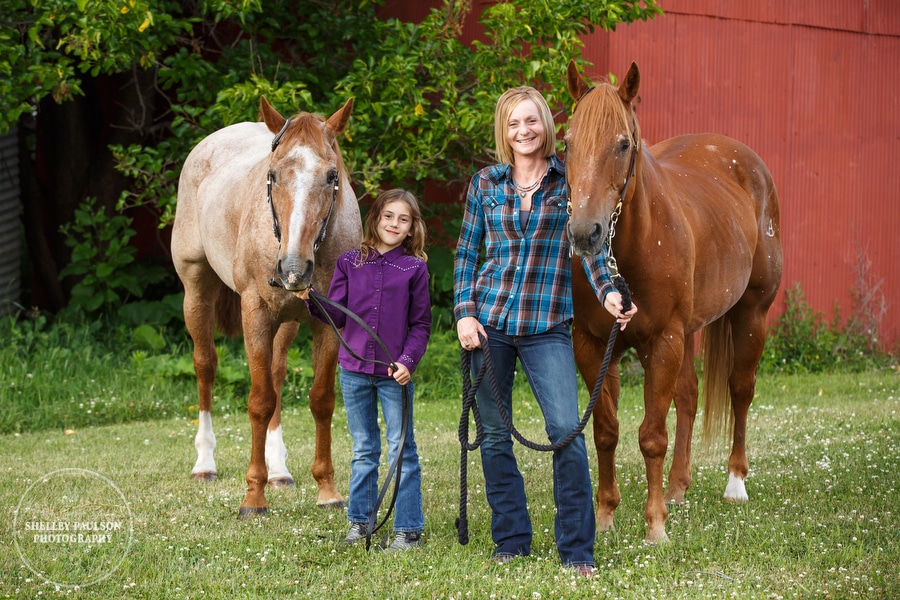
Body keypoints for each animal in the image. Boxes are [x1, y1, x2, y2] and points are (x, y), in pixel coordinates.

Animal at [172, 96, 362, 512]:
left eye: (332, 176)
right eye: (273, 176)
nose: (293, 268)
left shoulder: (326, 321)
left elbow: (321, 400)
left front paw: (327, 490)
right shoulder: (255, 312)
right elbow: (259, 401)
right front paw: (253, 497)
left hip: (287, 319)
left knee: (275, 373)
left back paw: (279, 470)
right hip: (196, 290)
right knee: (205, 365)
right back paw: (204, 463)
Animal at [568, 62, 784, 544]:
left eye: (623, 144)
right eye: (567, 142)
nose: (585, 233)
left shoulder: (662, 342)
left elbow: (652, 436)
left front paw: (655, 526)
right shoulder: (593, 345)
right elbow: (606, 430)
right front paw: (606, 516)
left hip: (750, 317)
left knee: (740, 391)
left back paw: (735, 483)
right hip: (688, 332)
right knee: (688, 396)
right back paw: (678, 488)